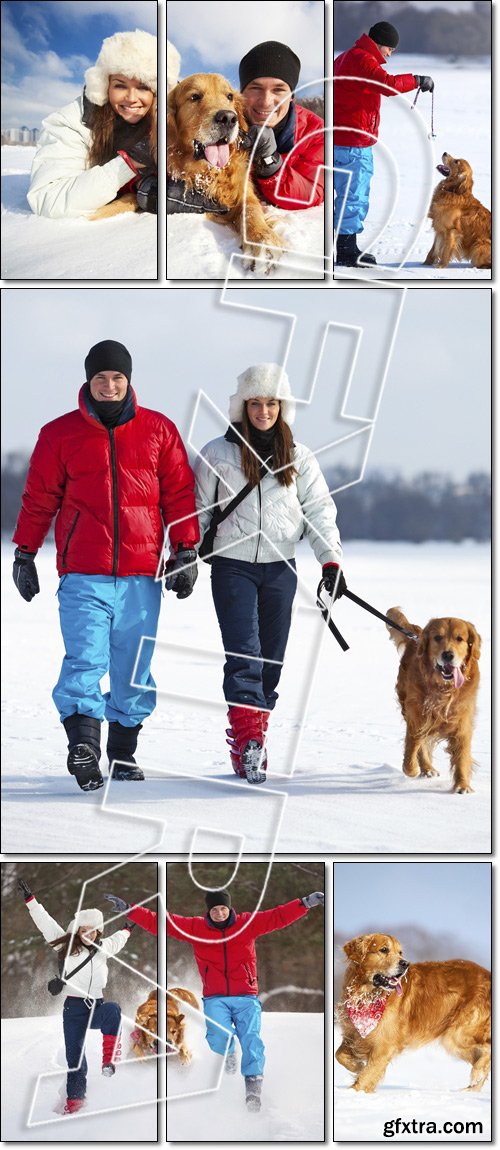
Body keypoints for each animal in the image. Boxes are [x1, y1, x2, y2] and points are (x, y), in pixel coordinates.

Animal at [167, 72, 283, 271]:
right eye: (195, 97)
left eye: (229, 96)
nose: (228, 118)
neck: (211, 171)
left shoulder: (245, 191)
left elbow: (251, 211)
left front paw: (263, 242)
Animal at [335, 929, 494, 1090]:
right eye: (384, 950)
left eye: (400, 952)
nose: (405, 963)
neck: (367, 996)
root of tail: (488, 973)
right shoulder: (353, 1033)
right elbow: (339, 1055)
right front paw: (358, 1066)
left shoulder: (384, 1044)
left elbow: (366, 1076)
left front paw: (355, 1092)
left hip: (457, 1034)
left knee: (487, 1049)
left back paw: (477, 1073)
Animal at [388, 611, 480, 791]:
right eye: (437, 637)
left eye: (460, 639)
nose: (448, 655)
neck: (443, 688)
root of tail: (416, 636)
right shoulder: (417, 714)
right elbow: (414, 742)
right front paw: (410, 768)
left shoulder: (462, 720)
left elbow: (462, 753)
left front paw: (462, 785)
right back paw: (426, 768)